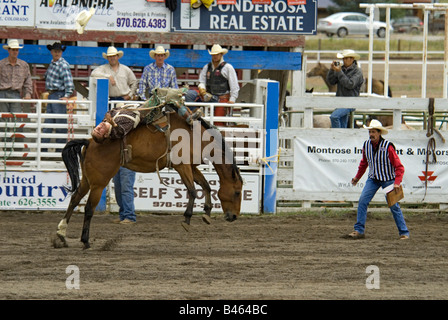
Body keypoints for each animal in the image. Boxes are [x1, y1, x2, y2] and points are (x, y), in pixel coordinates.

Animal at [53, 112, 245, 250]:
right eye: (237, 192)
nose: (234, 216)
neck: (196, 136)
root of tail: (90, 142)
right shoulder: (182, 166)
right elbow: (192, 190)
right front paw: (187, 218)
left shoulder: (191, 166)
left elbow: (205, 185)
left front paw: (207, 212)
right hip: (99, 183)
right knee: (88, 208)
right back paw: (85, 241)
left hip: (87, 179)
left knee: (75, 199)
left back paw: (61, 235)